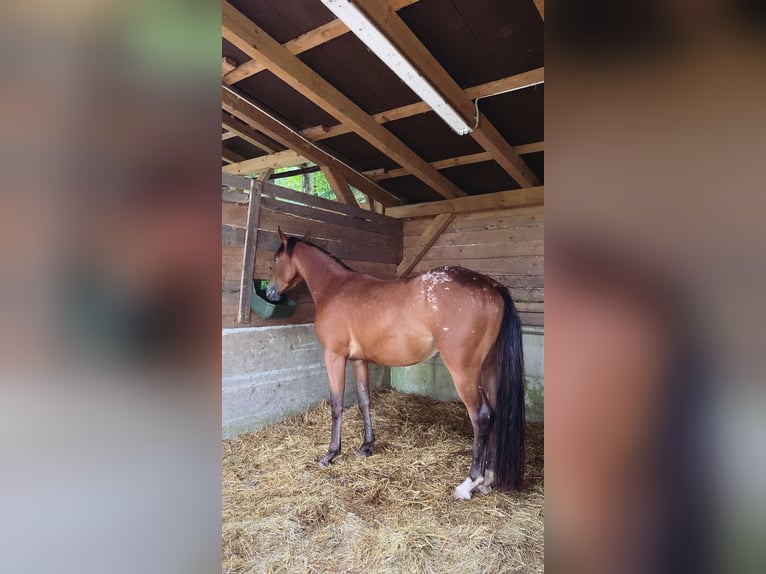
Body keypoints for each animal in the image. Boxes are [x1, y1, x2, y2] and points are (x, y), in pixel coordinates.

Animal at [266, 228, 525, 499]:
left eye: (275, 260)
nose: (270, 293)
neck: (335, 288)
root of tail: (491, 285)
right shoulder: (359, 361)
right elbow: (364, 401)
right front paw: (366, 446)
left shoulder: (334, 356)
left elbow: (337, 404)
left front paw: (331, 454)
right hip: (489, 370)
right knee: (495, 414)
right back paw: (489, 480)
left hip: (464, 373)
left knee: (482, 416)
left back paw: (470, 483)